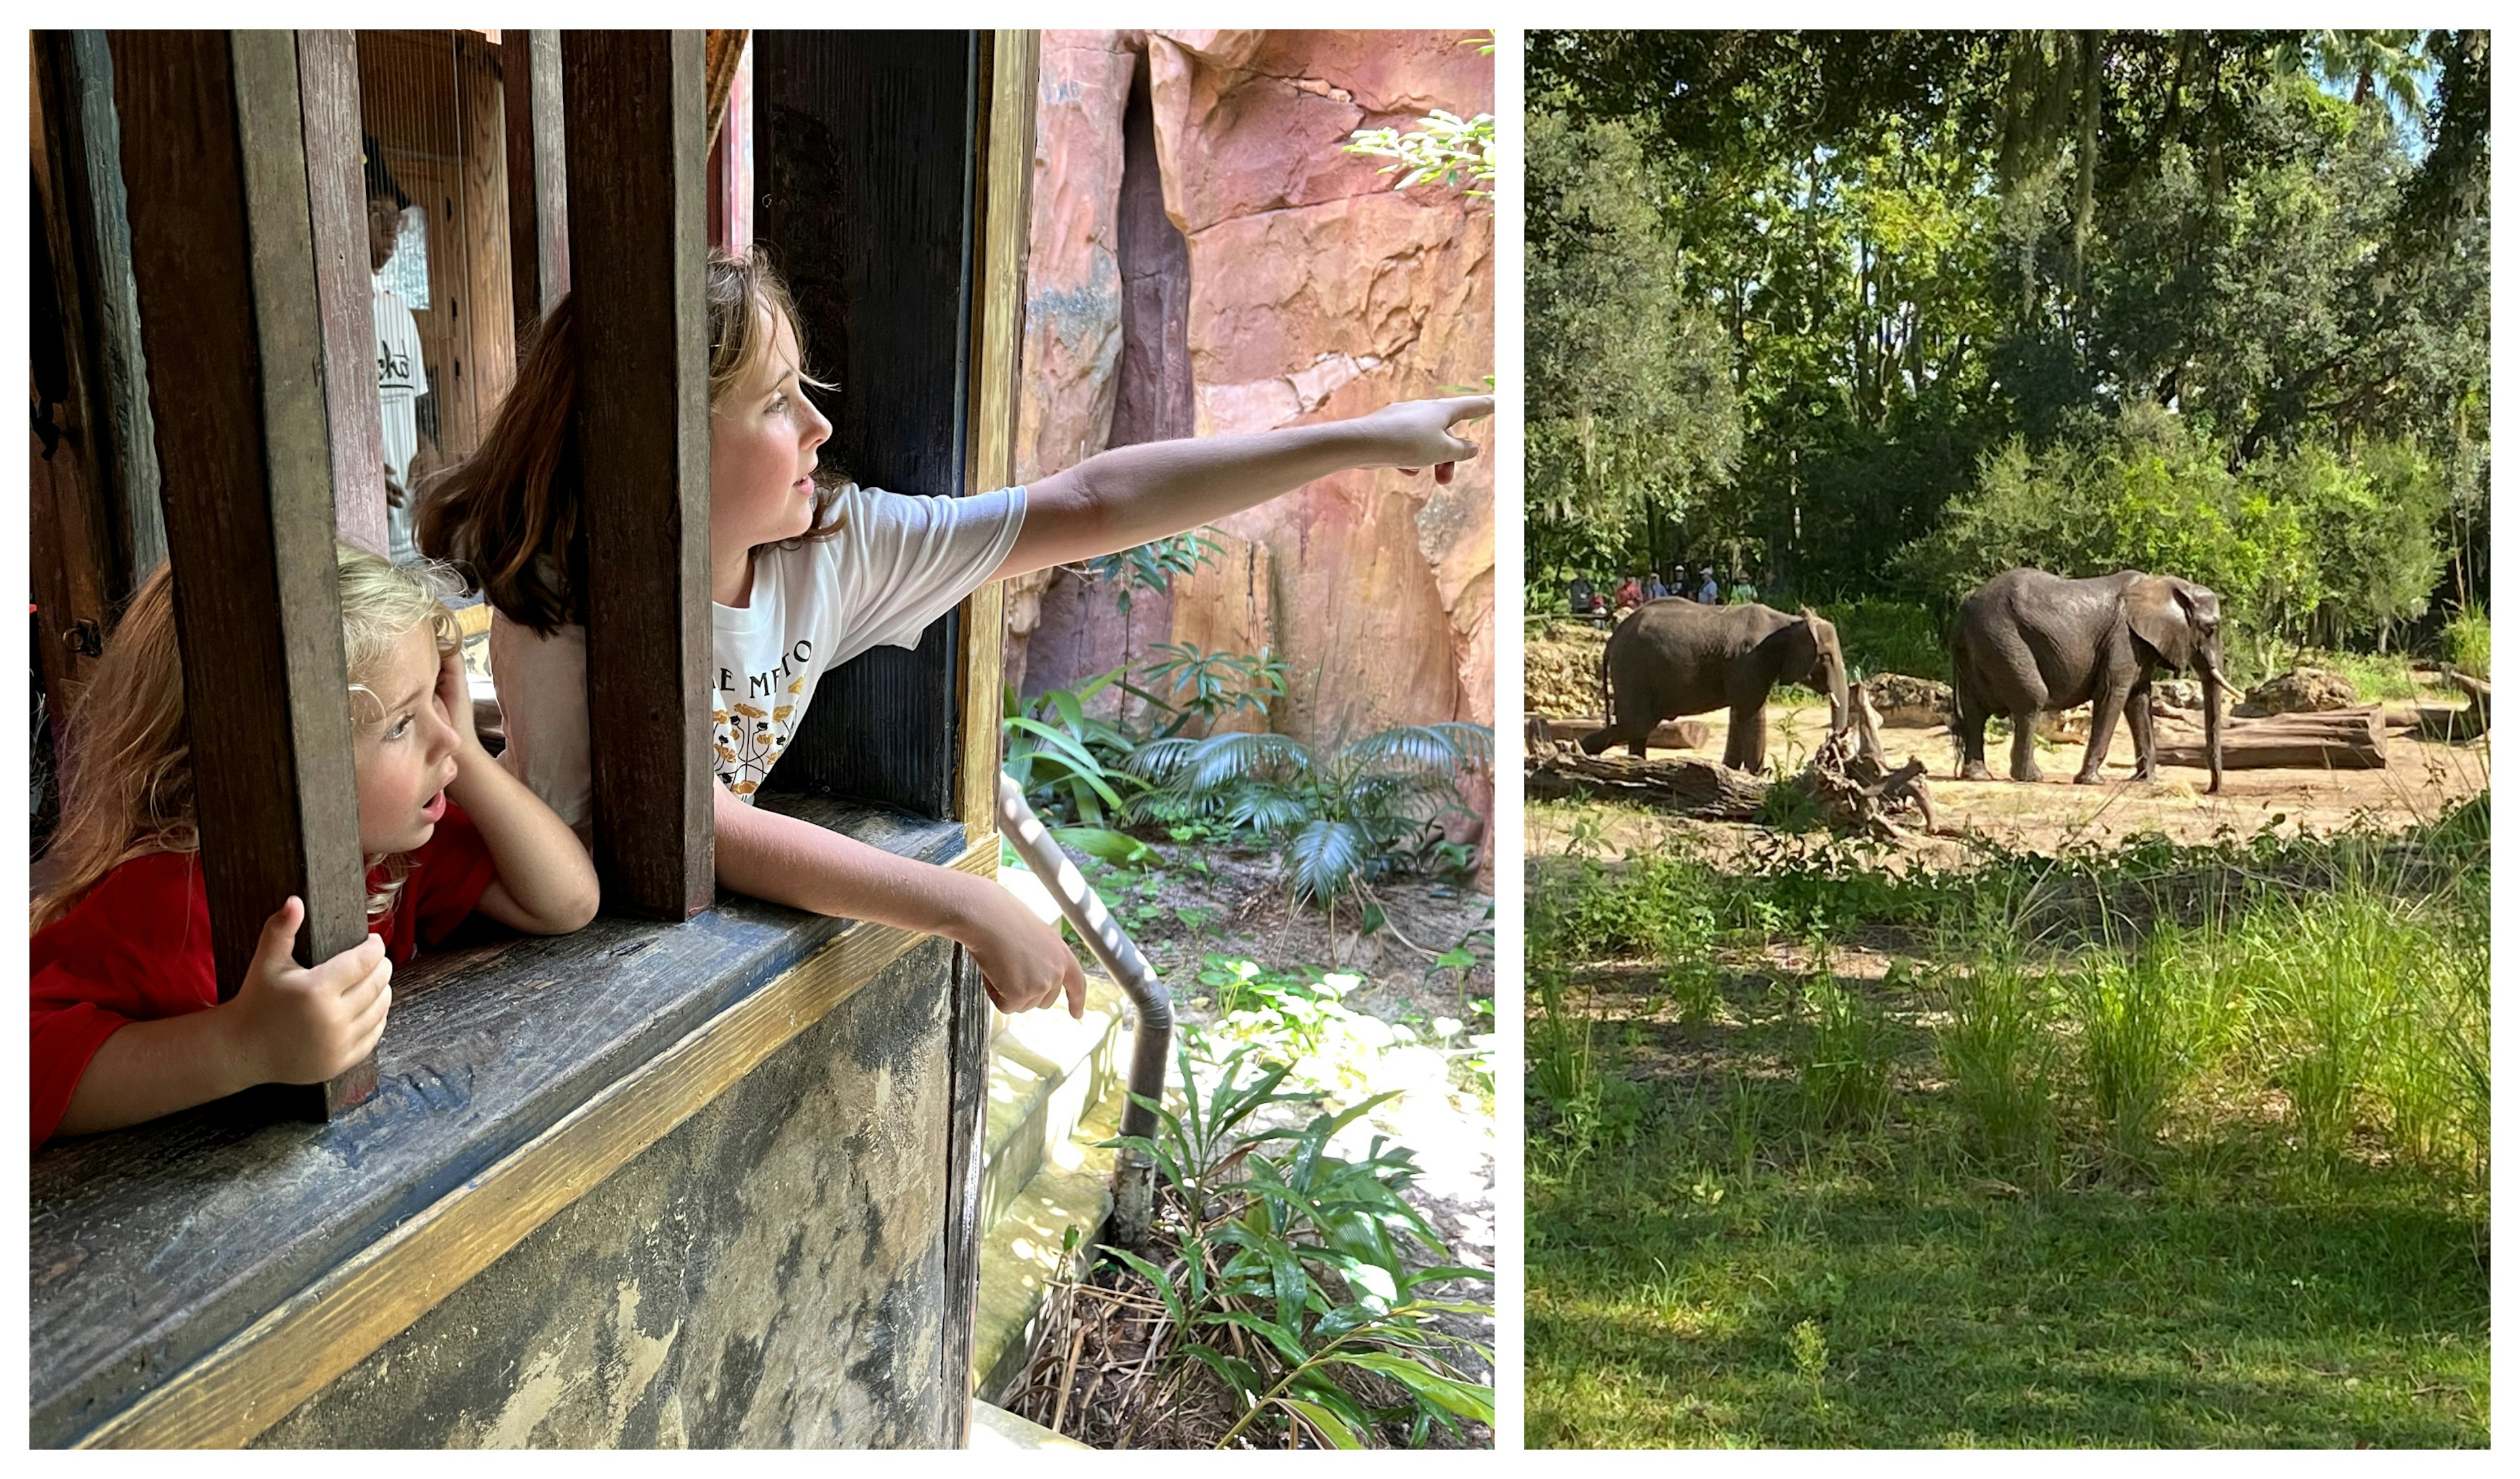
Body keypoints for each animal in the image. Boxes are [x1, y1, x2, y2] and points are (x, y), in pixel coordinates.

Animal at [1572, 599, 1855, 776]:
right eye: (1826, 658)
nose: (1831, 751)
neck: (1790, 621)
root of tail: (1612, 639)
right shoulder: (1750, 661)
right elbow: (1752, 715)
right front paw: (1760, 775)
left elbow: (1739, 715)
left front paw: (1730, 770)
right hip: (1632, 669)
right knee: (1639, 724)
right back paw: (1580, 752)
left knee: (1639, 728)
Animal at [1945, 569, 2248, 796]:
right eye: (2210, 629)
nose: (2210, 790)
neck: (2163, 585)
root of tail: (1962, 610)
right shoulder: (2123, 639)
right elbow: (2113, 694)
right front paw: (2092, 781)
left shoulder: (2139, 645)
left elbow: (2139, 701)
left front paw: (2146, 781)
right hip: (2002, 638)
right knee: (2032, 699)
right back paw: (2031, 777)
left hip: (1978, 646)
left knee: (1974, 712)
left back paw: (1978, 776)